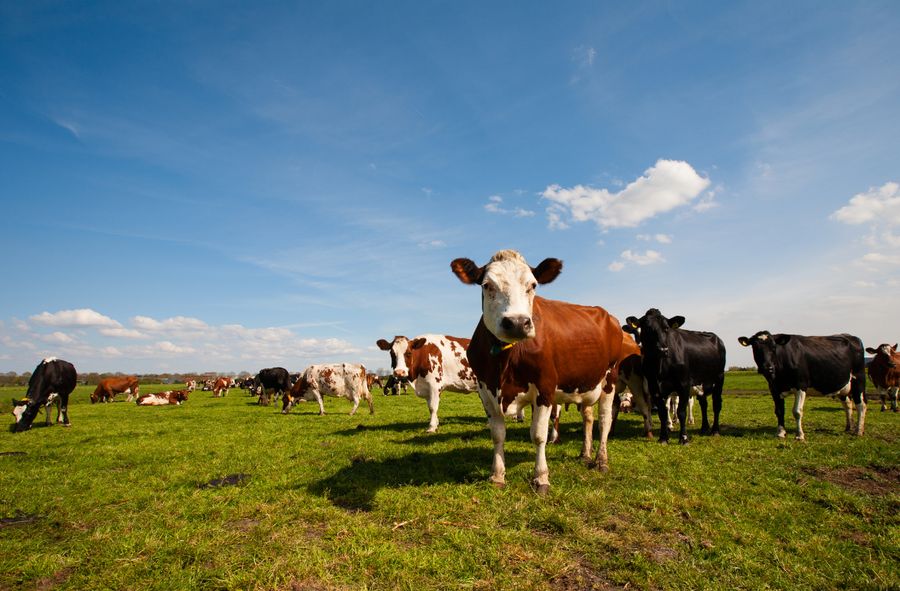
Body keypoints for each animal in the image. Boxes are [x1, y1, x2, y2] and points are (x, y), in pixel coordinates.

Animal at [450, 251, 624, 494]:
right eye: (487, 285)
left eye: (532, 285)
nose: (516, 323)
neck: (505, 361)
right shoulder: (485, 390)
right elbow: (497, 434)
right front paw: (497, 475)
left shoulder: (545, 388)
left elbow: (539, 435)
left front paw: (541, 478)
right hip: (584, 381)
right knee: (588, 417)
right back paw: (585, 454)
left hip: (610, 378)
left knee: (604, 420)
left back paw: (601, 461)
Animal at [628, 310, 728, 444]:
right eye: (647, 328)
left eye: (666, 328)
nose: (662, 349)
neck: (660, 366)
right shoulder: (654, 387)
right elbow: (662, 412)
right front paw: (663, 438)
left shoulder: (684, 385)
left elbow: (681, 412)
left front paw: (684, 438)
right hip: (701, 383)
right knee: (704, 404)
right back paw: (704, 428)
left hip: (719, 378)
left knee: (716, 404)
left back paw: (715, 430)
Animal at [736, 332, 868, 440]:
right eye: (755, 347)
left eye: (774, 347)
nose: (768, 368)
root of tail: (852, 337)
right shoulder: (774, 388)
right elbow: (779, 411)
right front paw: (781, 433)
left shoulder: (801, 385)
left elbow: (797, 411)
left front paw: (799, 435)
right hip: (842, 386)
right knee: (848, 405)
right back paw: (849, 428)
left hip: (859, 378)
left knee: (861, 405)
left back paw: (858, 431)